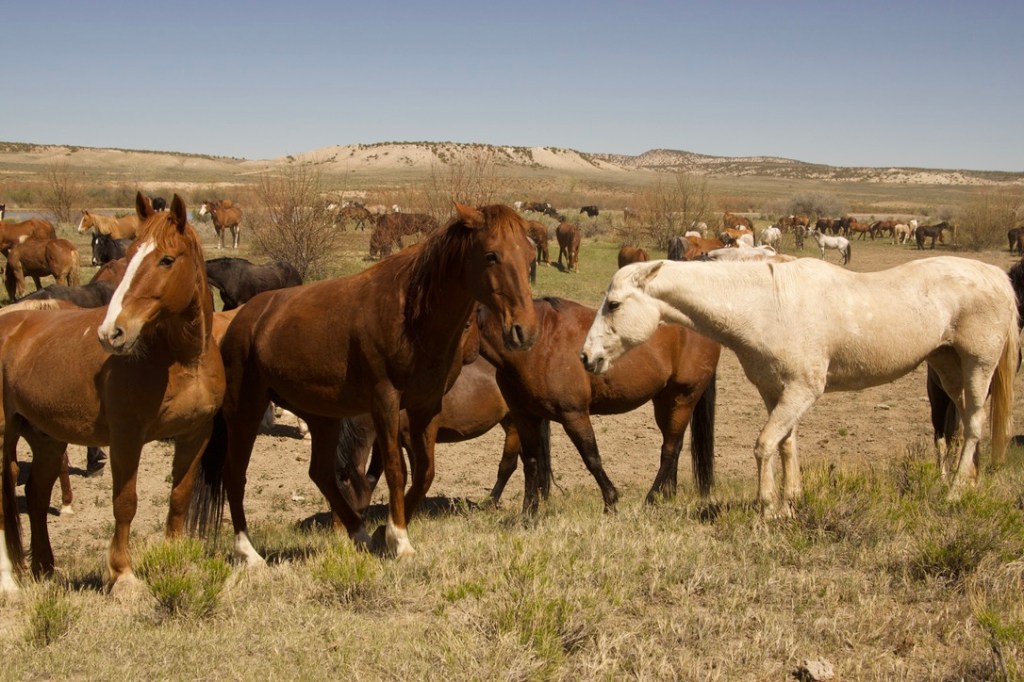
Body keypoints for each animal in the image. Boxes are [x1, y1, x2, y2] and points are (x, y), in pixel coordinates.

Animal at [0, 193, 225, 593]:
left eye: (166, 260)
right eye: (130, 252)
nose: (111, 333)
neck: (184, 360)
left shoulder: (195, 434)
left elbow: (179, 497)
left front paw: (176, 558)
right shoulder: (125, 439)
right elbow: (125, 504)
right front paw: (122, 575)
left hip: (47, 439)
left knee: (37, 496)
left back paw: (45, 568)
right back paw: (9, 582)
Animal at [186, 203, 539, 562]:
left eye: (530, 255)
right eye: (492, 255)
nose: (523, 331)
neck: (410, 316)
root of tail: (242, 321)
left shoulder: (426, 406)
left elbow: (424, 473)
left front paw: (384, 532)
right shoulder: (385, 402)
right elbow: (397, 471)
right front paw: (400, 540)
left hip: (322, 417)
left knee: (321, 474)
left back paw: (360, 535)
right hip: (246, 410)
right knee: (235, 474)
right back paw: (248, 553)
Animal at [479, 297, 719, 514]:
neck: (536, 346)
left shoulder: (573, 414)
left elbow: (591, 457)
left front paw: (611, 501)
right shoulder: (524, 416)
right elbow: (530, 461)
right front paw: (528, 511)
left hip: (683, 398)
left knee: (670, 449)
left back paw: (651, 499)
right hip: (665, 402)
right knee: (674, 444)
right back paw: (667, 495)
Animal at [580, 257, 1018, 518]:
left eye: (614, 304)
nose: (586, 357)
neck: (766, 307)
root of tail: (995, 275)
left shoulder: (803, 392)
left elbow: (764, 445)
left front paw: (767, 507)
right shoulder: (775, 392)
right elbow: (786, 444)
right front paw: (791, 500)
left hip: (977, 366)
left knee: (974, 425)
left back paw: (955, 491)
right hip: (947, 367)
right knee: (964, 424)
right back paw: (966, 480)